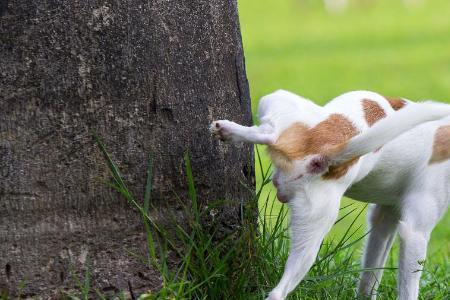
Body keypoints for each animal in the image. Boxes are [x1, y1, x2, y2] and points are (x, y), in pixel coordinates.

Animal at [211, 90, 450, 300]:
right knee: (271, 132)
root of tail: (324, 155)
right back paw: (227, 129)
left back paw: (228, 131)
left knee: (279, 292)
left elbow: (370, 277)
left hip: (310, 238)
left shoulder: (385, 220)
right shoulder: (412, 232)